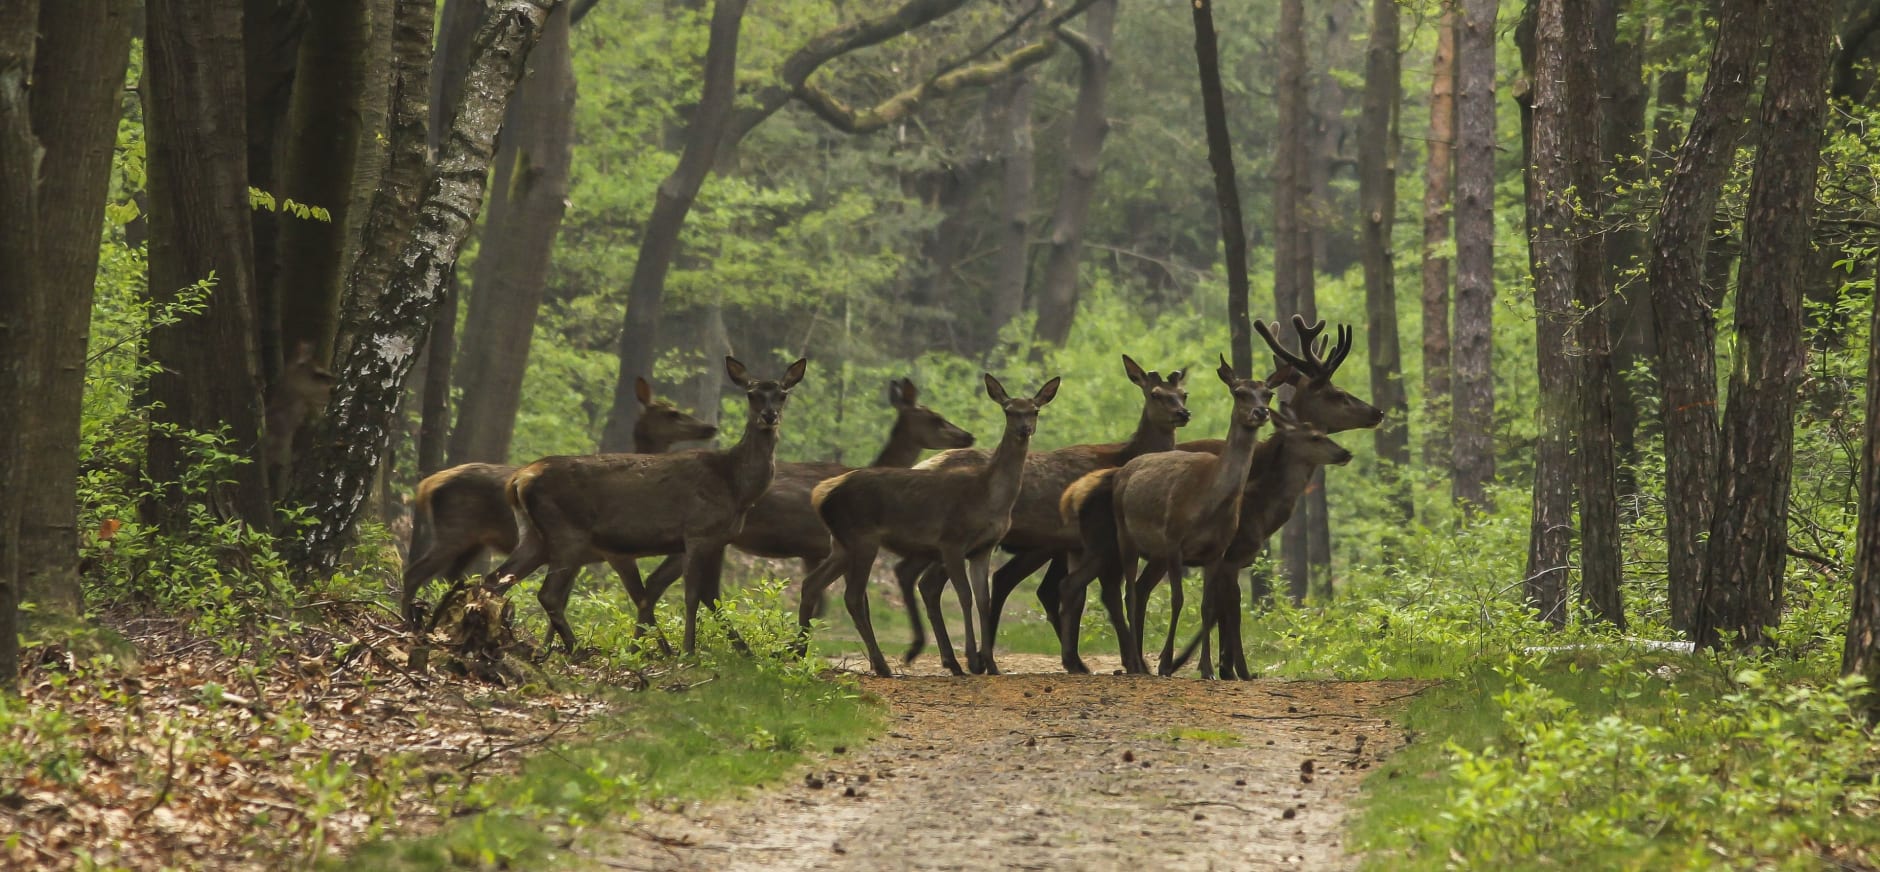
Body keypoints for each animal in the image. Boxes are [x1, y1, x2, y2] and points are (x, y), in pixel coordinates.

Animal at [398, 377, 718, 631]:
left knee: (453, 577)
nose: (709, 428)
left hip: (472, 542)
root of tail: (427, 485)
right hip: (455, 531)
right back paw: (408, 620)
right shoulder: (597, 553)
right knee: (415, 572)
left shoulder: (582, 558)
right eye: (673, 413)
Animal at [481, 355, 804, 654]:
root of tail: (519, 479)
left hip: (534, 536)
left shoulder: (719, 539)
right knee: (546, 593)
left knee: (496, 578)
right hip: (566, 532)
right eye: (751, 394)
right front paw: (688, 651)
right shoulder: (697, 531)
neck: (736, 487)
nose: (769, 416)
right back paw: (576, 648)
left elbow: (711, 596)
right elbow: (691, 595)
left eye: (783, 394)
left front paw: (744, 652)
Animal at [793, 372, 1060, 676]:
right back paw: (882, 665)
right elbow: (964, 596)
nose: (1024, 429)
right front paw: (972, 660)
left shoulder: (983, 549)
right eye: (1008, 410)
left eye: (1035, 410)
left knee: (812, 583)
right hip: (862, 538)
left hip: (841, 543)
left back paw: (799, 653)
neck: (989, 498)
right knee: (853, 596)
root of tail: (821, 495)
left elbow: (983, 600)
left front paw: (991, 664)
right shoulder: (951, 541)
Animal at [894, 353, 1188, 669]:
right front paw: (1127, 661)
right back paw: (960, 659)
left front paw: (1077, 659)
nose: (1183, 413)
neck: (1123, 455)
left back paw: (952, 657)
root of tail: (921, 466)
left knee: (922, 578)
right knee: (932, 582)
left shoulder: (1074, 544)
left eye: (1183, 393)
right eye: (1155, 394)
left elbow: (1076, 595)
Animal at [1060, 317, 1383, 672]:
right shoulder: (1228, 551)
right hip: (1113, 544)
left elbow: (1221, 607)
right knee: (1101, 589)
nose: (1377, 412)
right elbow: (1227, 608)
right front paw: (1225, 666)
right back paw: (1118, 659)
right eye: (1336, 394)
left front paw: (1224, 665)